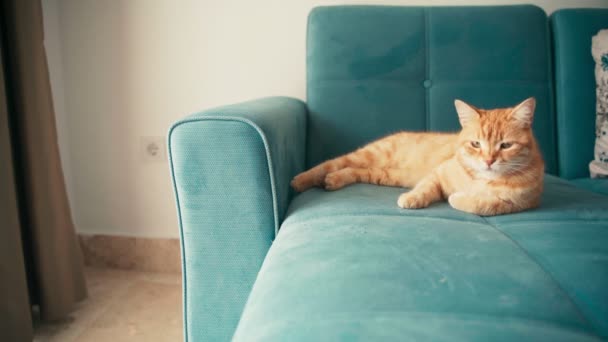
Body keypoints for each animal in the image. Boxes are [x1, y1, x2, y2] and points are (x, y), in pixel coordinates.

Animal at [292, 97, 544, 216]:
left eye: (506, 145)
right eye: (475, 144)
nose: (489, 161)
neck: (482, 178)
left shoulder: (518, 203)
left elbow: (482, 205)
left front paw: (459, 198)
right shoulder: (438, 174)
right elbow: (425, 188)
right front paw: (411, 199)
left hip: (383, 174)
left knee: (353, 172)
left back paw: (333, 181)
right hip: (369, 156)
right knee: (330, 164)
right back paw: (301, 181)